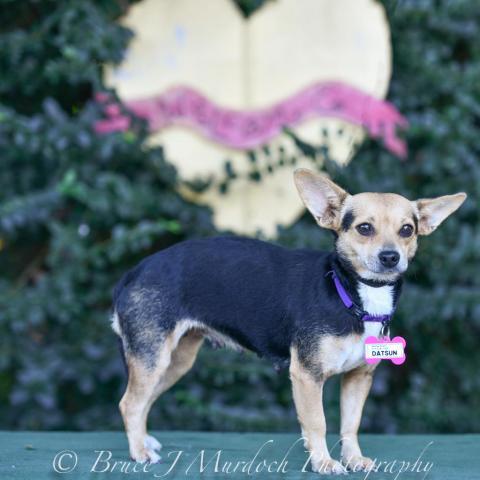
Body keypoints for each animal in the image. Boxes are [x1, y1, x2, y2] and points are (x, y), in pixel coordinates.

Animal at [111, 168, 466, 474]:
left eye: (407, 230)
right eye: (364, 228)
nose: (391, 257)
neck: (353, 296)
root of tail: (134, 271)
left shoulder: (358, 377)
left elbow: (350, 425)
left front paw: (354, 459)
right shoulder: (307, 376)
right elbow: (318, 423)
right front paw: (324, 464)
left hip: (174, 363)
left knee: (142, 402)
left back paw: (144, 441)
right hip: (153, 358)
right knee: (129, 403)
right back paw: (139, 451)